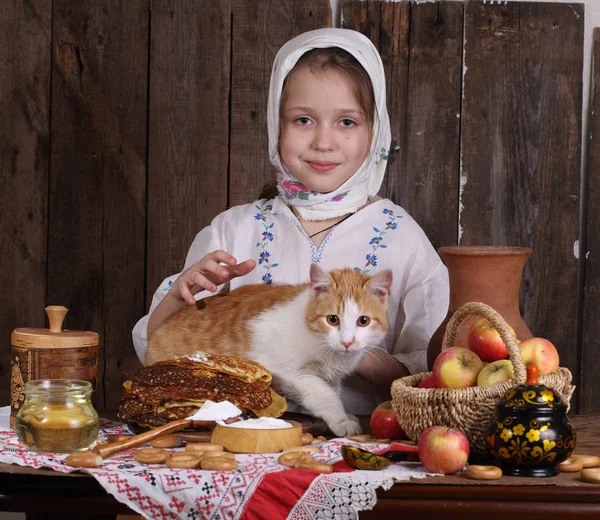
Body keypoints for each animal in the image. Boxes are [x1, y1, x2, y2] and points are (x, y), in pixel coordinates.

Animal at [144, 262, 392, 436]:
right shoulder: (289, 372)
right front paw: (340, 419)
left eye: (363, 321)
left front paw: (343, 414)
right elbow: (322, 394)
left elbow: (330, 391)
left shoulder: (330, 376)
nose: (348, 342)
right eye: (333, 319)